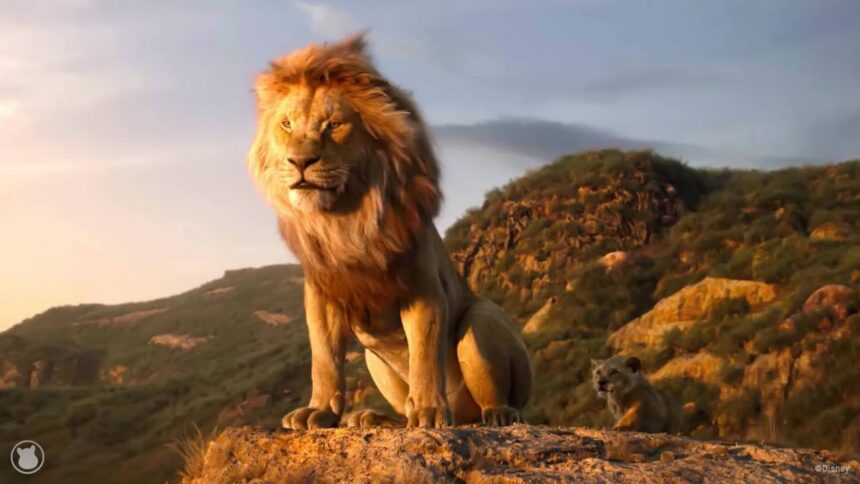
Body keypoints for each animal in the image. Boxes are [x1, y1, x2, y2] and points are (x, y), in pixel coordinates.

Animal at [247, 34, 532, 429]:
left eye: (333, 124)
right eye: (287, 124)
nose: (300, 162)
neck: (345, 219)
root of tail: (464, 416)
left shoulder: (422, 288)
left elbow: (424, 354)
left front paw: (428, 412)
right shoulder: (322, 296)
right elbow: (324, 359)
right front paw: (318, 411)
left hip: (483, 319)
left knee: (495, 394)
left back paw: (496, 414)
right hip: (374, 360)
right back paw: (375, 418)